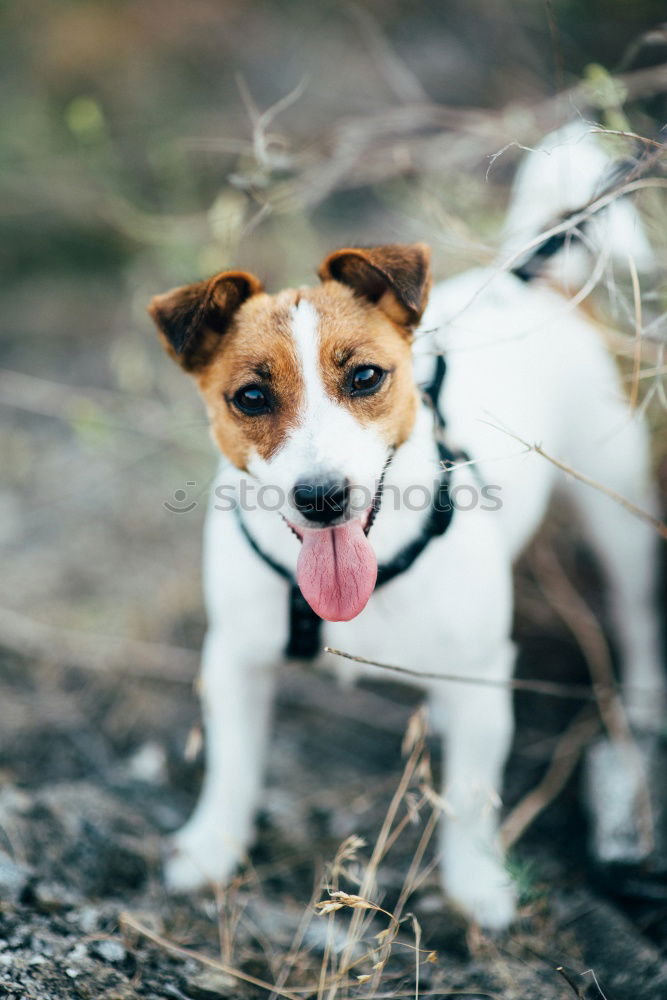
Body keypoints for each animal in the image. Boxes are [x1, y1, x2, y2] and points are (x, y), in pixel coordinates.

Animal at [149, 125, 664, 928]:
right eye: (251, 397)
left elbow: (470, 798)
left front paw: (477, 884)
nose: (322, 496)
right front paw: (210, 849)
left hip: (618, 515)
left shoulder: (482, 671)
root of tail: (530, 279)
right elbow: (232, 768)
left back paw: (641, 712)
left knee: (636, 618)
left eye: (364, 376)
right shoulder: (234, 659)